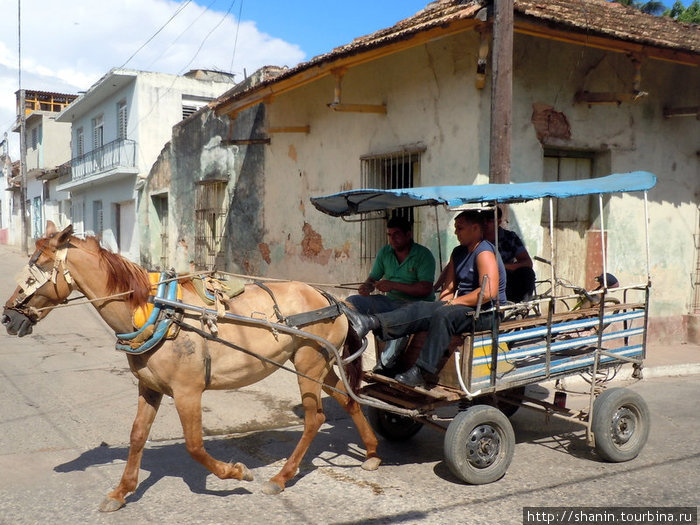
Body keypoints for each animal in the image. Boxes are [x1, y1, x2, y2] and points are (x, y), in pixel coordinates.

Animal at [2, 220, 380, 508]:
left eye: (39, 269)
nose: (8, 317)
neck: (157, 310)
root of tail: (330, 298)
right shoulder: (149, 387)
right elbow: (137, 435)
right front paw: (122, 491)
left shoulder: (188, 392)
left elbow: (195, 446)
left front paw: (236, 472)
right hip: (322, 366)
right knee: (348, 400)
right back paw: (372, 452)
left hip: (308, 366)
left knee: (314, 417)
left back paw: (282, 476)